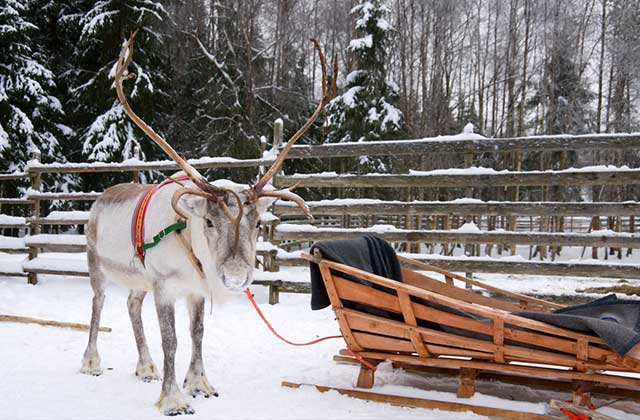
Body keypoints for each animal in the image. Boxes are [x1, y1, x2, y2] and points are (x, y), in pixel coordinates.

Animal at [79, 31, 337, 416]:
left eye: (257, 224)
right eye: (210, 222)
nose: (235, 276)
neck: (190, 244)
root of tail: (100, 199)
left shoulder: (195, 289)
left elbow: (197, 333)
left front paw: (199, 384)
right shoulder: (164, 285)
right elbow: (171, 340)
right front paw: (173, 399)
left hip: (138, 279)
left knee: (131, 305)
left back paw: (146, 367)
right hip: (96, 264)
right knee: (97, 305)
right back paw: (91, 362)